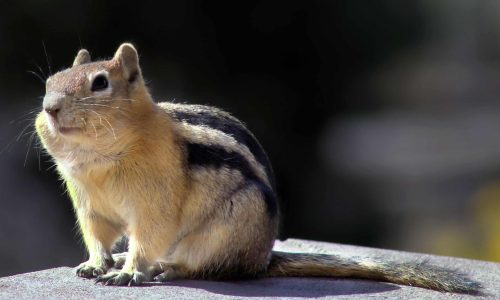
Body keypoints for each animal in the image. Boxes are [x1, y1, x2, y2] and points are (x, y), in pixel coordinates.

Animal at [35, 43, 480, 294]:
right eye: (52, 79)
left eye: (100, 83)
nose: (49, 108)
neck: (99, 159)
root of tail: (261, 257)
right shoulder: (89, 203)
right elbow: (98, 234)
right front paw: (97, 263)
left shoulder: (154, 202)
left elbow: (148, 236)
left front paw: (129, 272)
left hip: (224, 232)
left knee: (211, 269)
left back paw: (167, 267)